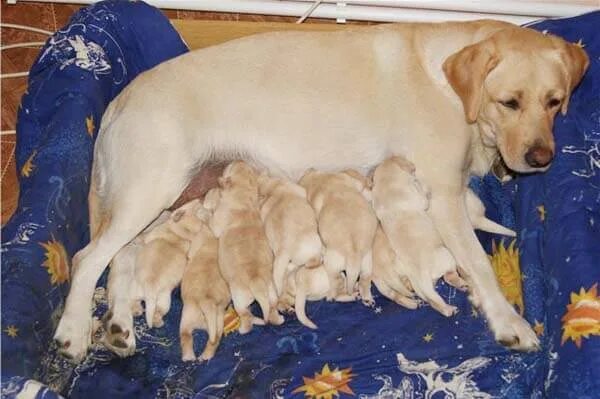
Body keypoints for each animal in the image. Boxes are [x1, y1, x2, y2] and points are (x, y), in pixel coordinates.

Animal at [133, 200, 204, 328]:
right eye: (195, 205)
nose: (199, 200)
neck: (181, 230)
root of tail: (150, 286)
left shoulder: (151, 234)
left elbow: (143, 238)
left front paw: (137, 238)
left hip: (160, 296)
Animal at [178, 205, 230, 364]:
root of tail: (206, 301)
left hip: (185, 319)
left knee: (186, 338)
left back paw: (188, 357)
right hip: (218, 322)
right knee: (214, 340)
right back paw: (205, 356)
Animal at [205, 162, 282, 334]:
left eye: (229, 168)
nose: (237, 160)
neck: (244, 197)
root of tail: (256, 281)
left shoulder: (217, 222)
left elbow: (212, 223)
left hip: (239, 298)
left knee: (246, 315)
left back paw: (244, 328)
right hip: (271, 291)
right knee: (272, 308)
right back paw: (279, 319)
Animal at [298, 168, 378, 304]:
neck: (320, 182)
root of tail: (353, 255)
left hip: (331, 264)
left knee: (337, 282)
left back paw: (332, 295)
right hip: (367, 262)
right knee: (365, 280)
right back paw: (367, 298)